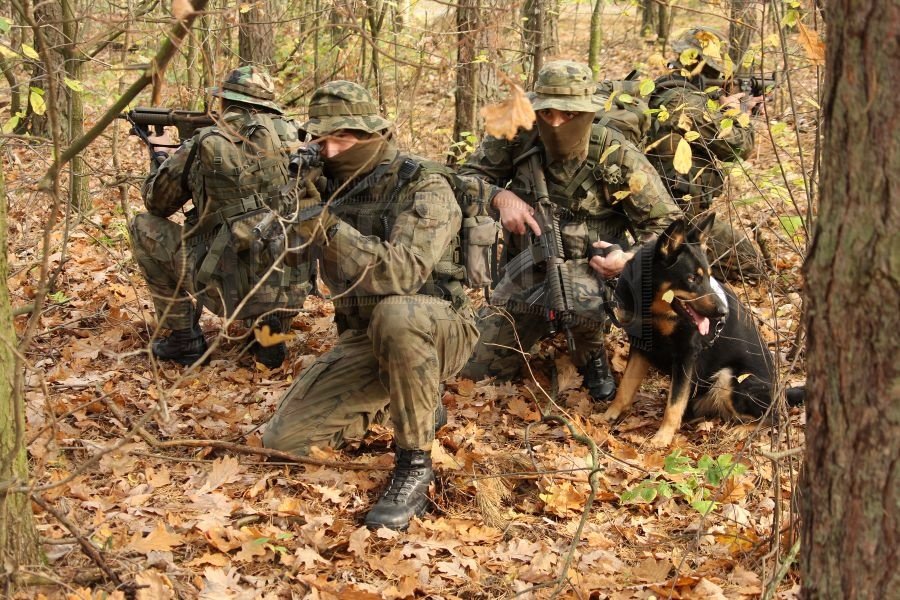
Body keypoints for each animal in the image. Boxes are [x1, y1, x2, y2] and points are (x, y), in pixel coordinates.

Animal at [604, 216, 800, 446]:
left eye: (707, 277)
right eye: (691, 278)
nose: (723, 312)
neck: (652, 309)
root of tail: (781, 392)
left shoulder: (686, 355)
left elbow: (674, 404)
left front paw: (663, 437)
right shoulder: (640, 347)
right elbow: (625, 388)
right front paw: (609, 415)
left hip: (731, 378)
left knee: (775, 418)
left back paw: (742, 430)